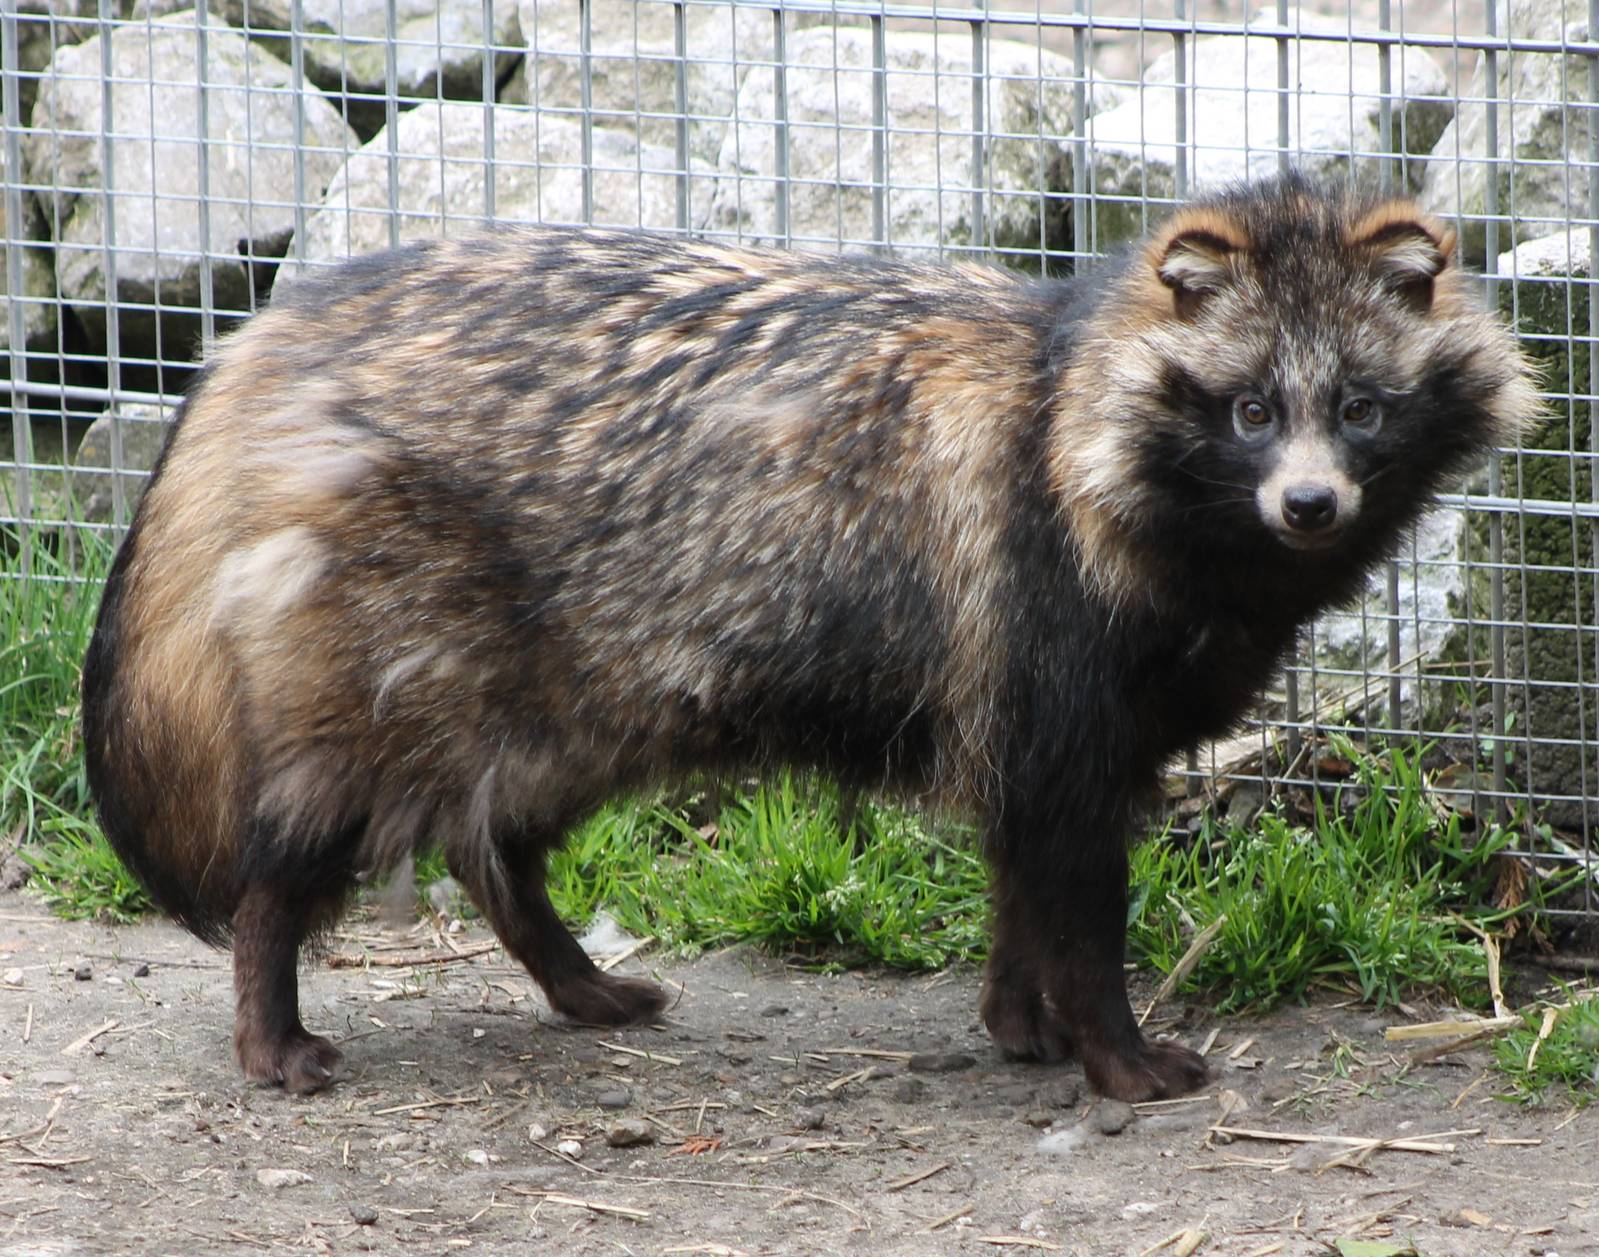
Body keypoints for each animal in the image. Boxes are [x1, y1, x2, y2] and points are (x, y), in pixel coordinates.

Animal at [81, 173, 1536, 1103]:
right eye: (1248, 410)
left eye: (1358, 407)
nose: (1310, 505)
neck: (1069, 404)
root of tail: (260, 344)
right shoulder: (1048, 651)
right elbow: (1073, 892)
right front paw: (1111, 1046)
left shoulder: (1029, 701)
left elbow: (1023, 876)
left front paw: (1023, 1018)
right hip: (382, 647)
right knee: (300, 839)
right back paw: (270, 1002)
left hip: (576, 677)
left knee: (498, 835)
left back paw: (567, 969)